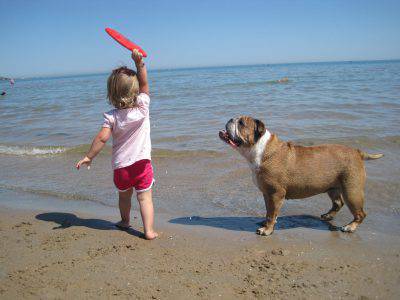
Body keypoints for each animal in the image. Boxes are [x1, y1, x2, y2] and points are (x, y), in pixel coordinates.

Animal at [220, 116, 382, 236]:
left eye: (241, 123)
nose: (231, 118)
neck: (259, 149)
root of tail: (357, 152)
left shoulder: (275, 193)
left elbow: (272, 213)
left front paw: (267, 230)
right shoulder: (267, 194)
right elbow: (269, 212)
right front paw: (266, 224)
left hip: (351, 191)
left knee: (360, 213)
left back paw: (350, 227)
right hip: (333, 188)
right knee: (338, 203)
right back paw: (328, 216)